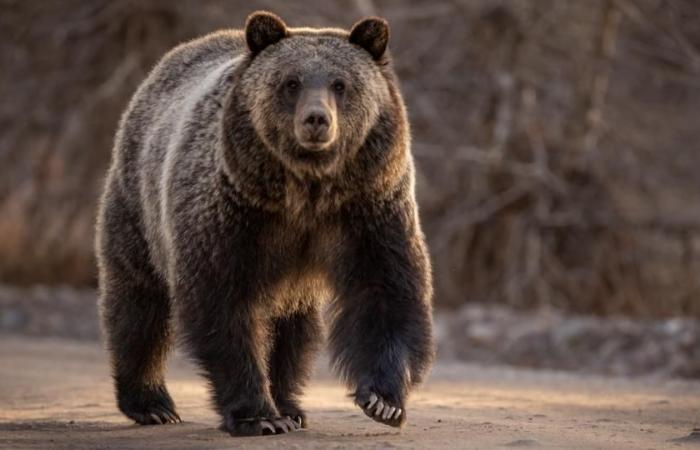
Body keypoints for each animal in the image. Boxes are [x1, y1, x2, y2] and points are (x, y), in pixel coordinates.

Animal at [95, 11, 434, 436]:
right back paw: (152, 403)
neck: (307, 190)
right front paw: (257, 414)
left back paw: (290, 405)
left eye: (340, 84)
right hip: (138, 206)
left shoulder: (368, 206)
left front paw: (382, 401)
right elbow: (224, 303)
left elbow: (386, 289)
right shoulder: (234, 213)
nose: (316, 120)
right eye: (291, 82)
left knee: (294, 329)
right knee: (139, 302)